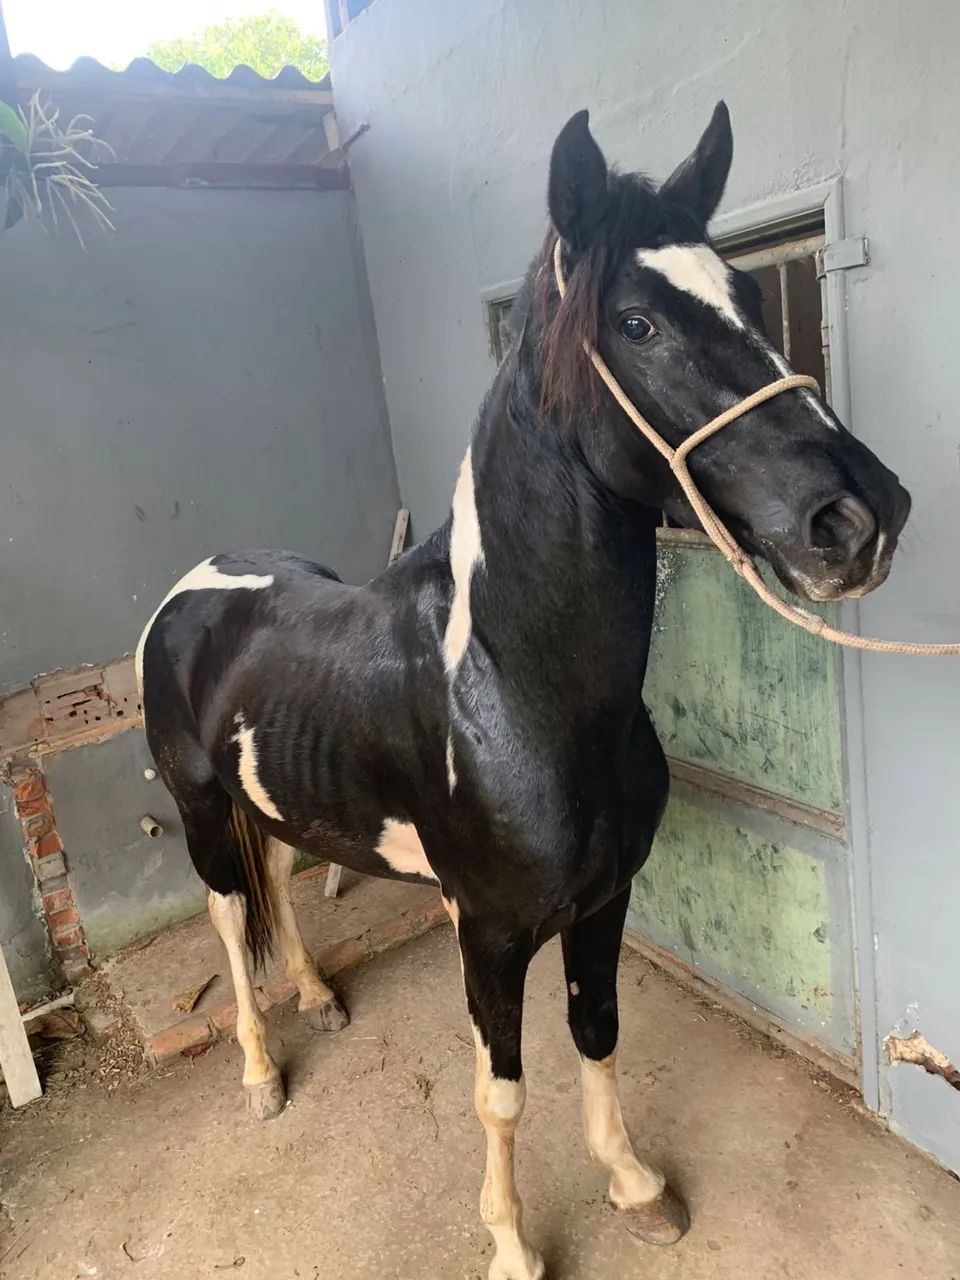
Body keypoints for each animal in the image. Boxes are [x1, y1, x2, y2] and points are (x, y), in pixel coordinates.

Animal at [136, 102, 910, 1280]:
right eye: (636, 323)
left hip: (269, 796)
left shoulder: (606, 900)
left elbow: (598, 1032)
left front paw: (636, 1187)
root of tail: (197, 586)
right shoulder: (489, 936)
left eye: (747, 293)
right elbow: (500, 1094)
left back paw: (317, 993)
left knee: (278, 875)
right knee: (231, 918)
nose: (863, 516)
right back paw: (262, 1071)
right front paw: (510, 1243)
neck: (516, 694)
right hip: (196, 808)